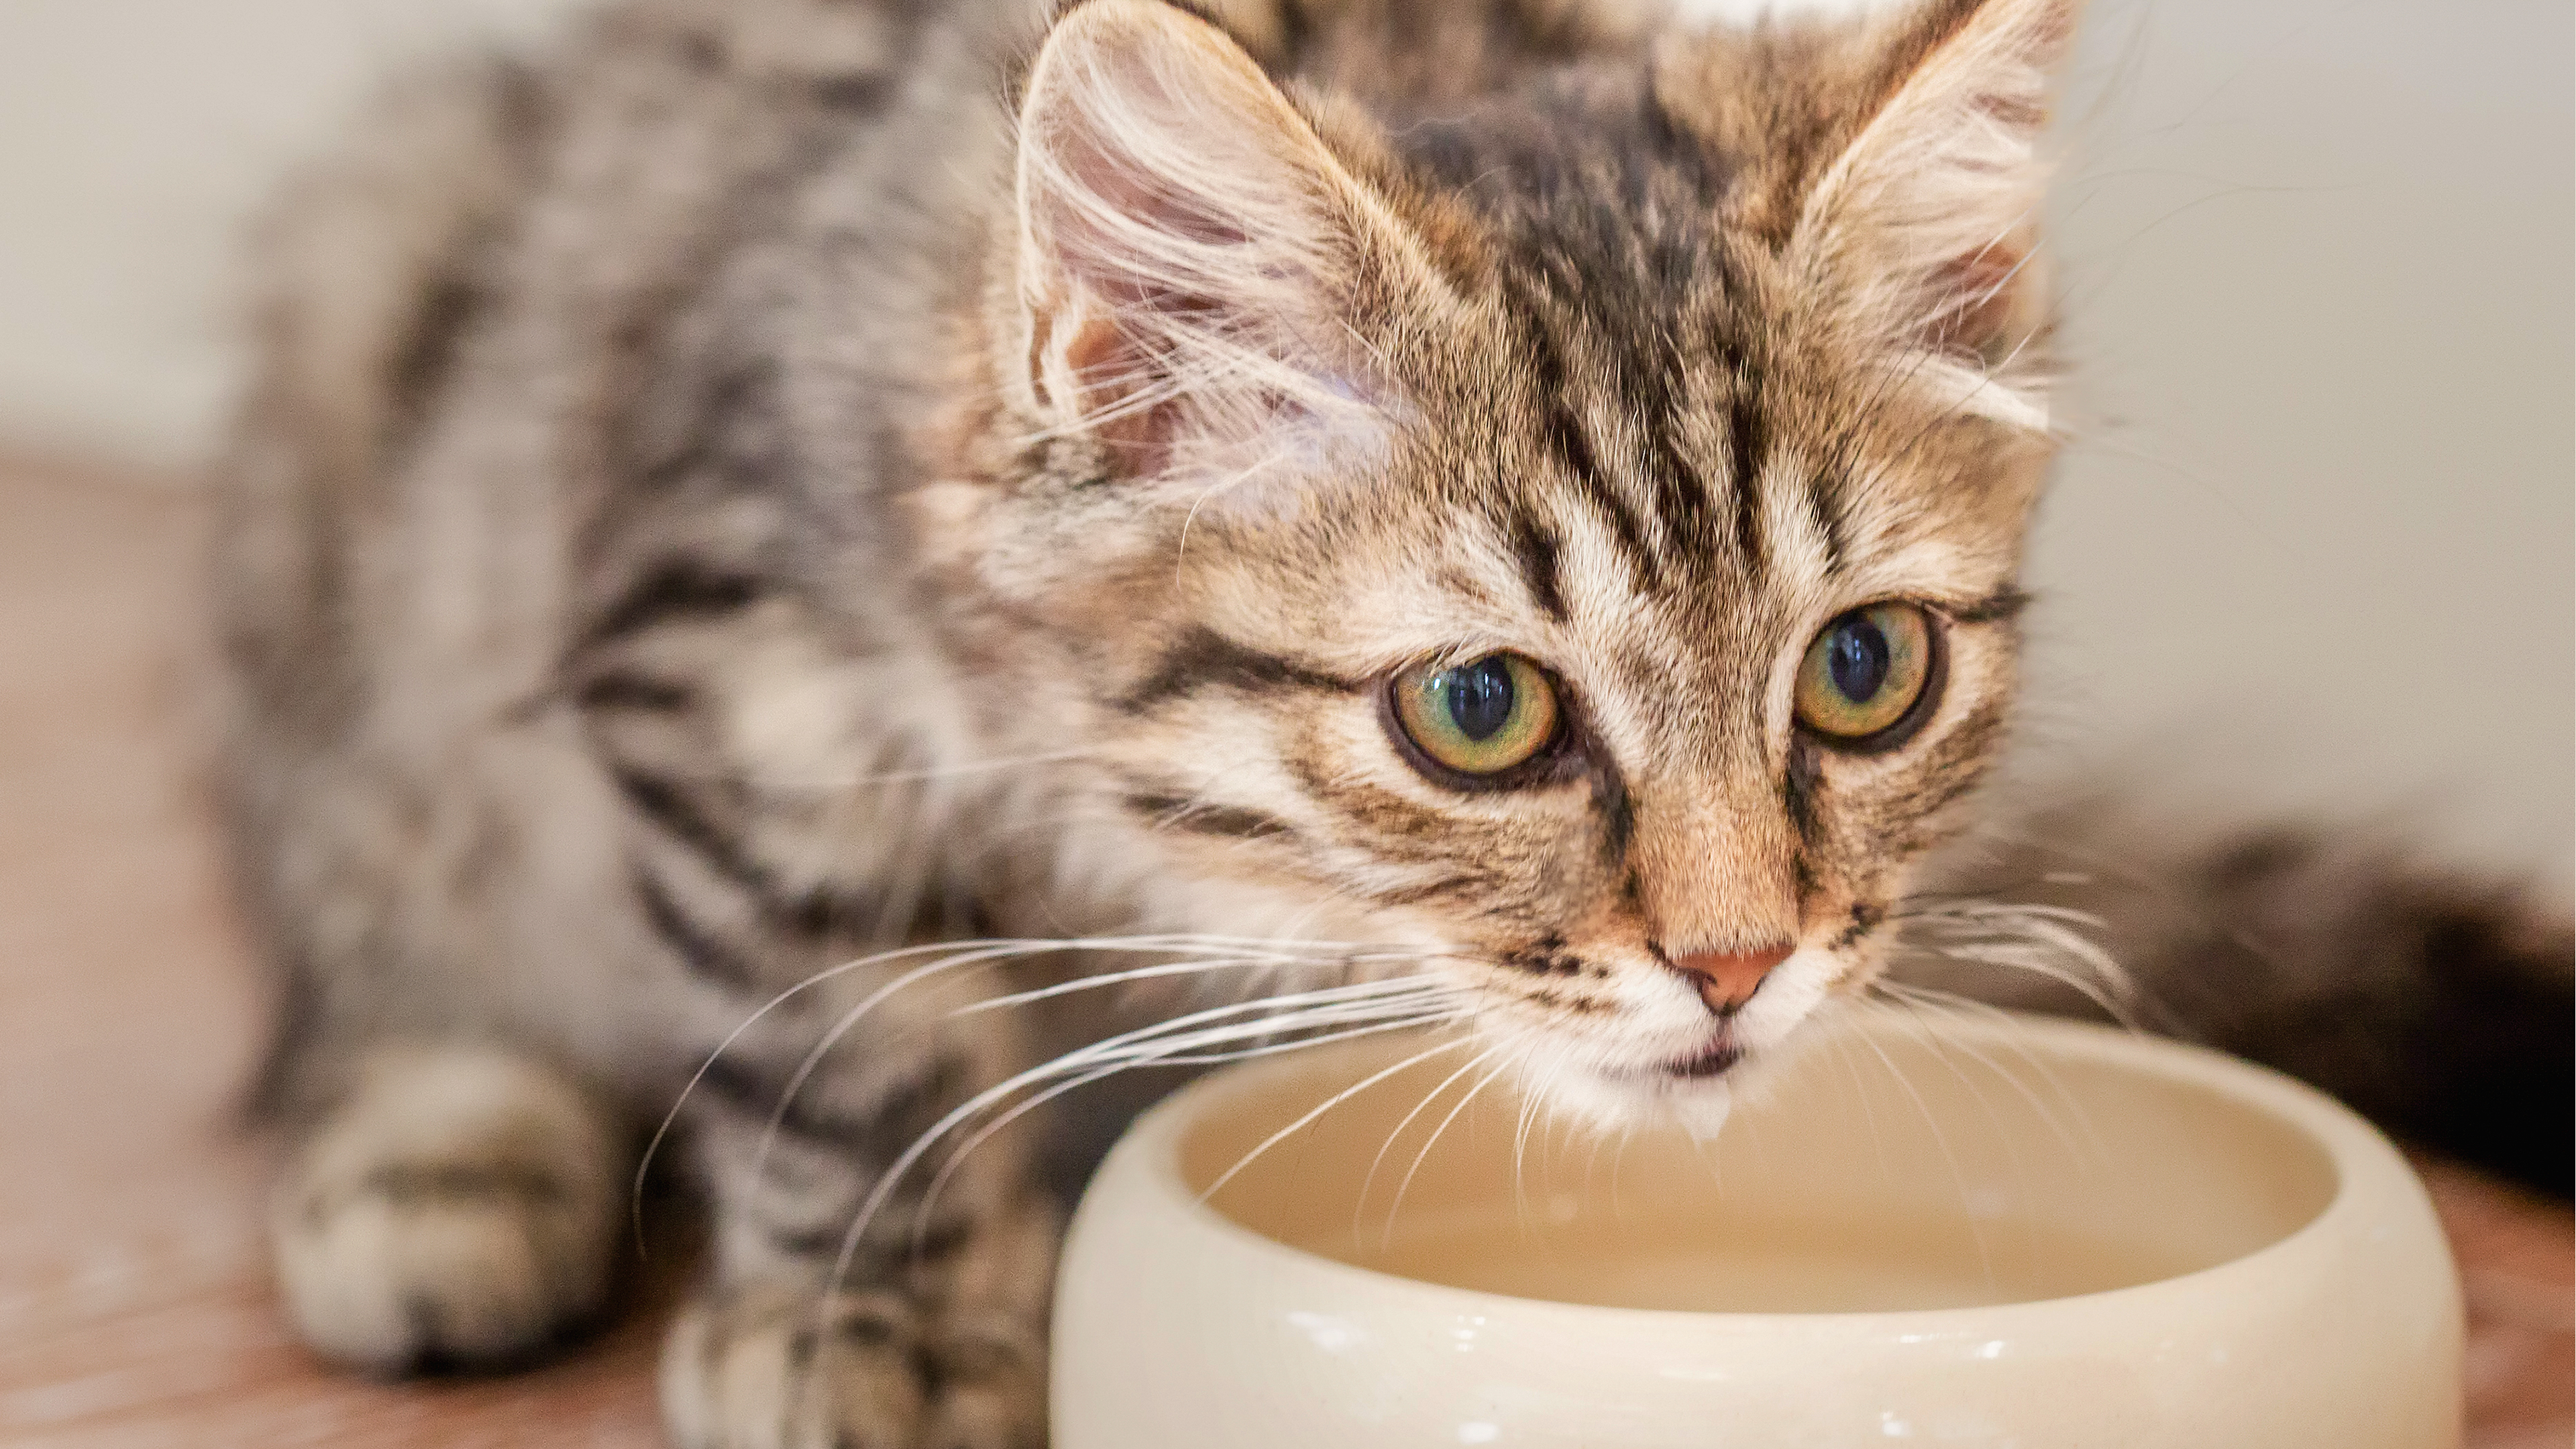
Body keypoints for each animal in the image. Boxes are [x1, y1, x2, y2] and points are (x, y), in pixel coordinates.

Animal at [221, 0, 2576, 1433]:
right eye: (1478, 710)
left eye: (1862, 671)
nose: (1740, 965)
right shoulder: (724, 648)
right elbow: (846, 1032)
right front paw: (868, 1321)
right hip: (356, 428)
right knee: (348, 959)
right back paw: (444, 1163)